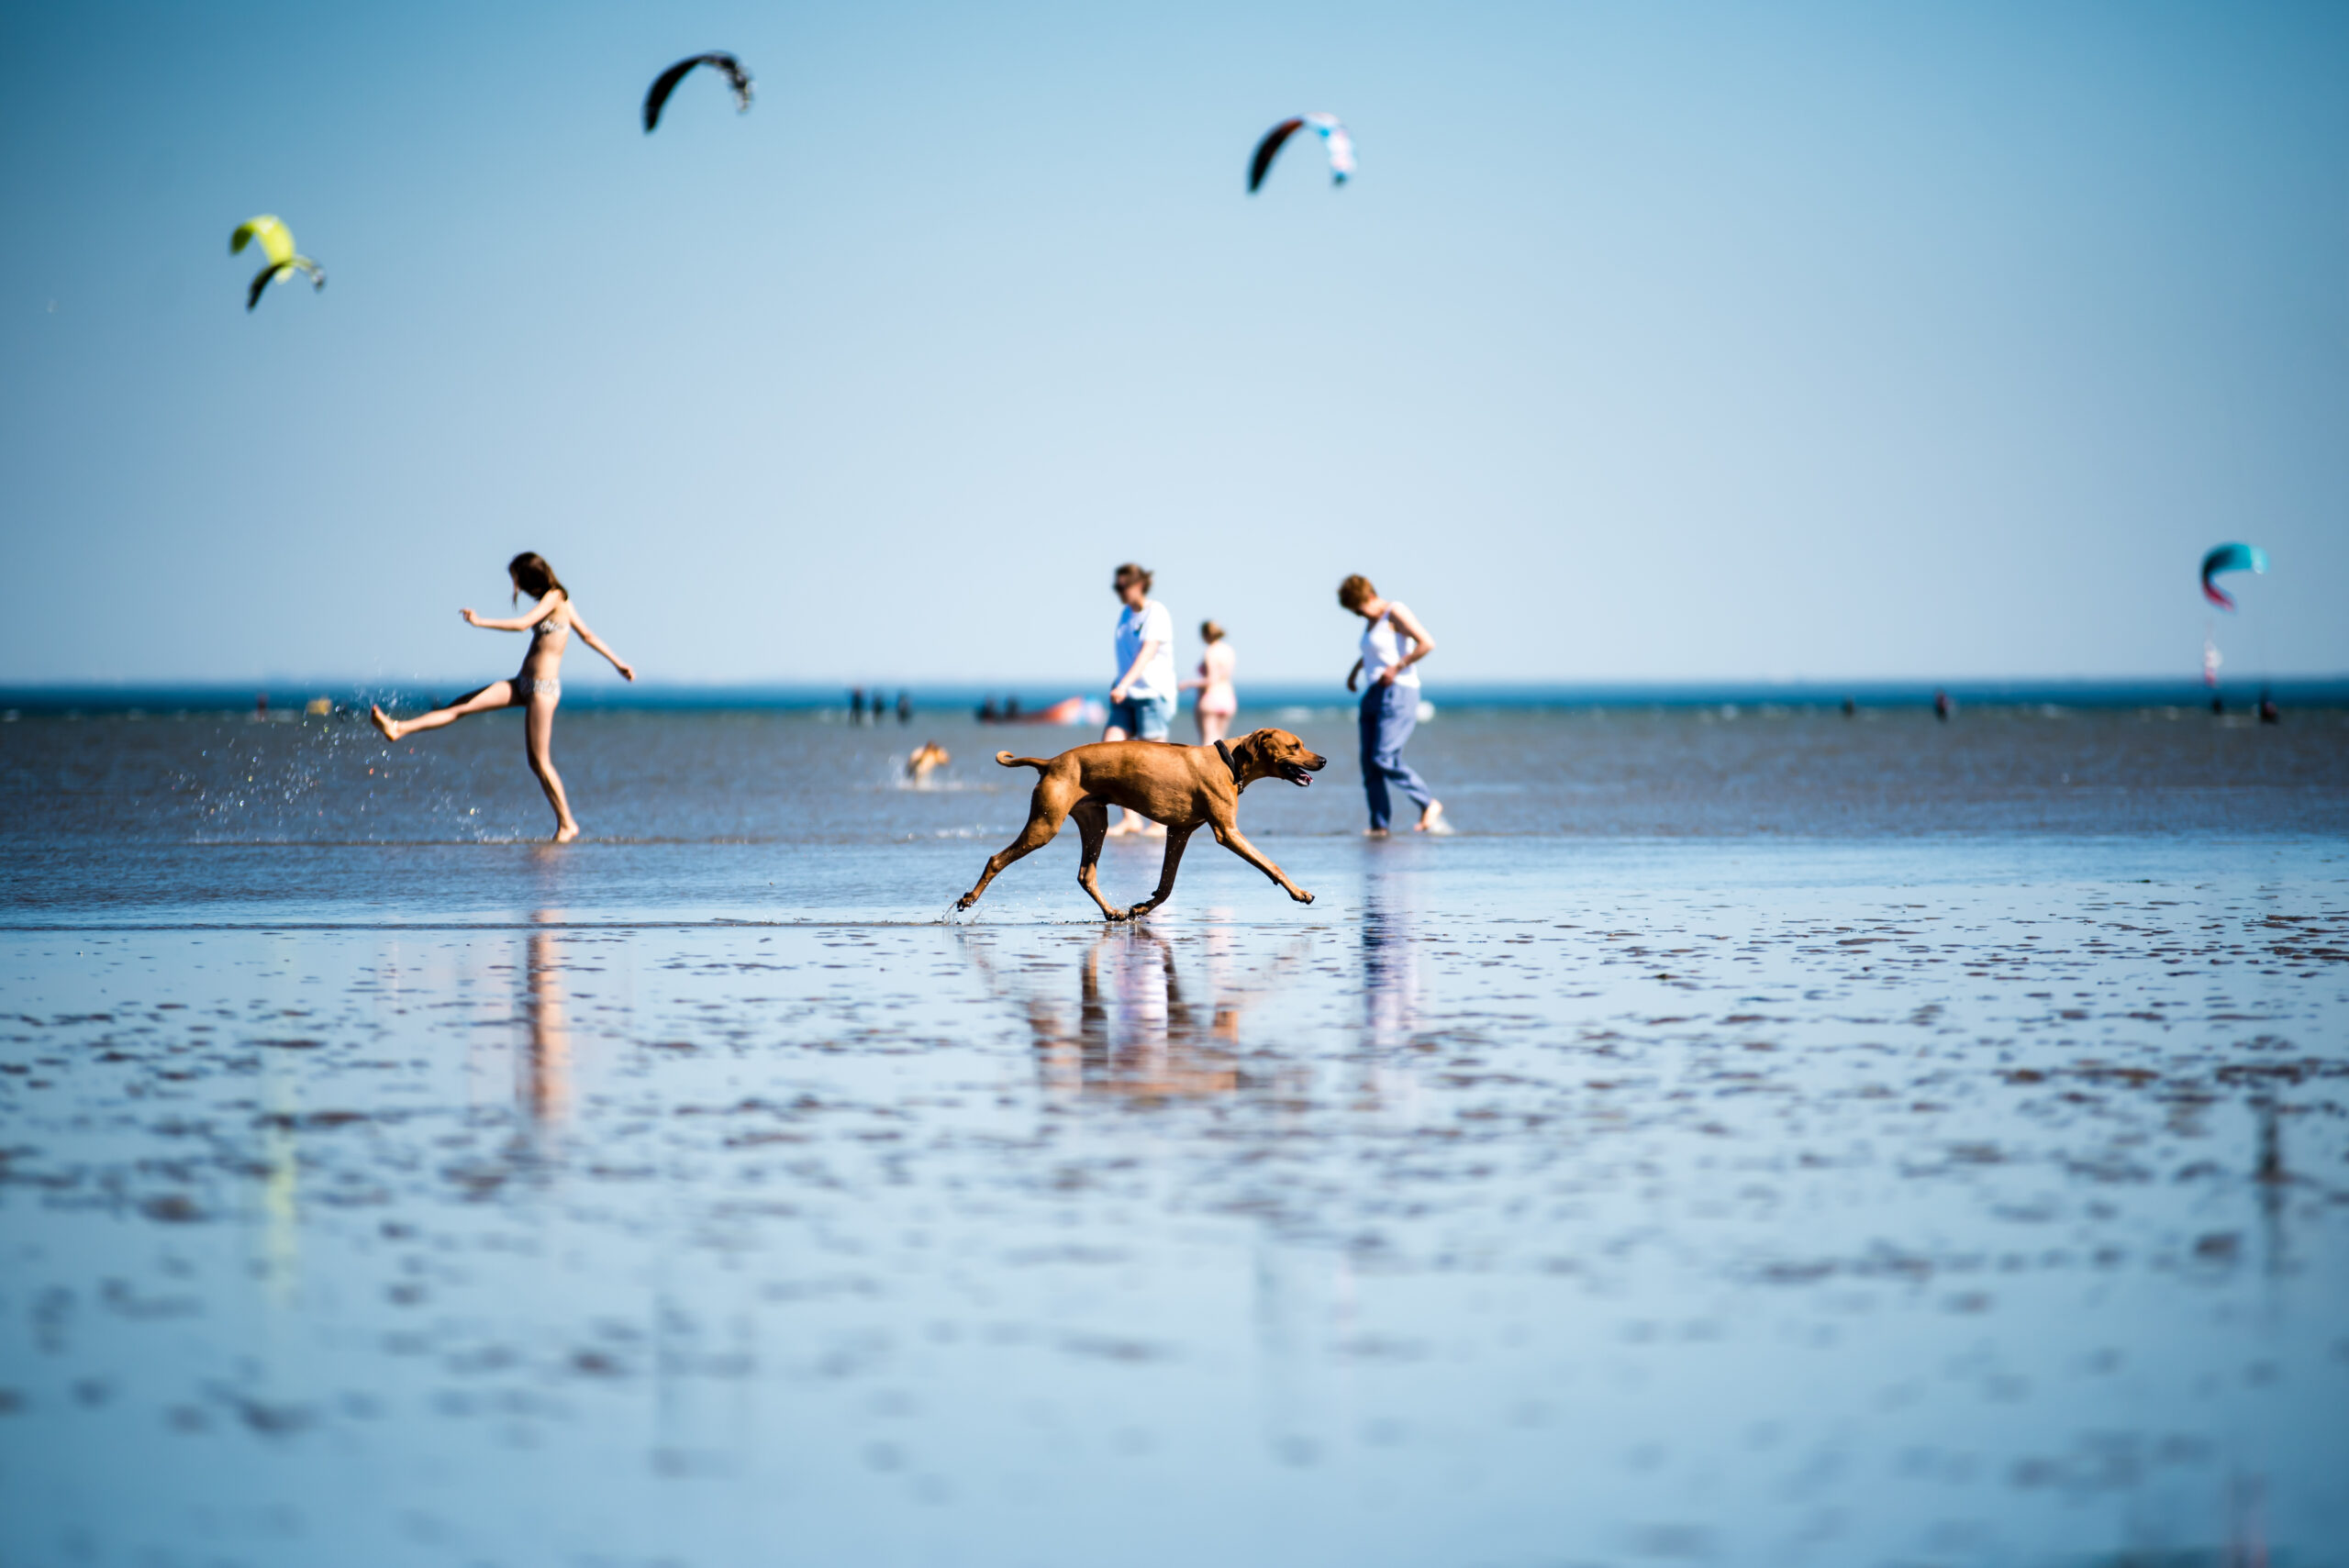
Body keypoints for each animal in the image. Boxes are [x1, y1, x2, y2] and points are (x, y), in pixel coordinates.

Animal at [953, 732, 1324, 925]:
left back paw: (1112, 912)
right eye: (1294, 746)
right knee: (996, 859)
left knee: (1086, 874)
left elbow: (1167, 885)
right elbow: (1270, 864)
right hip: (1045, 825)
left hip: (1095, 823)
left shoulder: (1179, 832)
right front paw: (1299, 892)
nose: (1323, 760)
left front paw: (1143, 907)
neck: (1230, 761)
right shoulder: (1227, 832)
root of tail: (1050, 763)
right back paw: (969, 898)